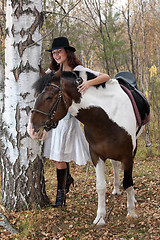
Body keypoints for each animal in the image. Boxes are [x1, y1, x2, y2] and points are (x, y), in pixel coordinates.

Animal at [30, 69, 144, 225]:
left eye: (48, 97)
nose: (31, 129)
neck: (108, 119)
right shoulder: (96, 155)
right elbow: (100, 186)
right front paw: (100, 217)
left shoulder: (128, 155)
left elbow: (128, 183)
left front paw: (131, 212)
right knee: (114, 164)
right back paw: (116, 189)